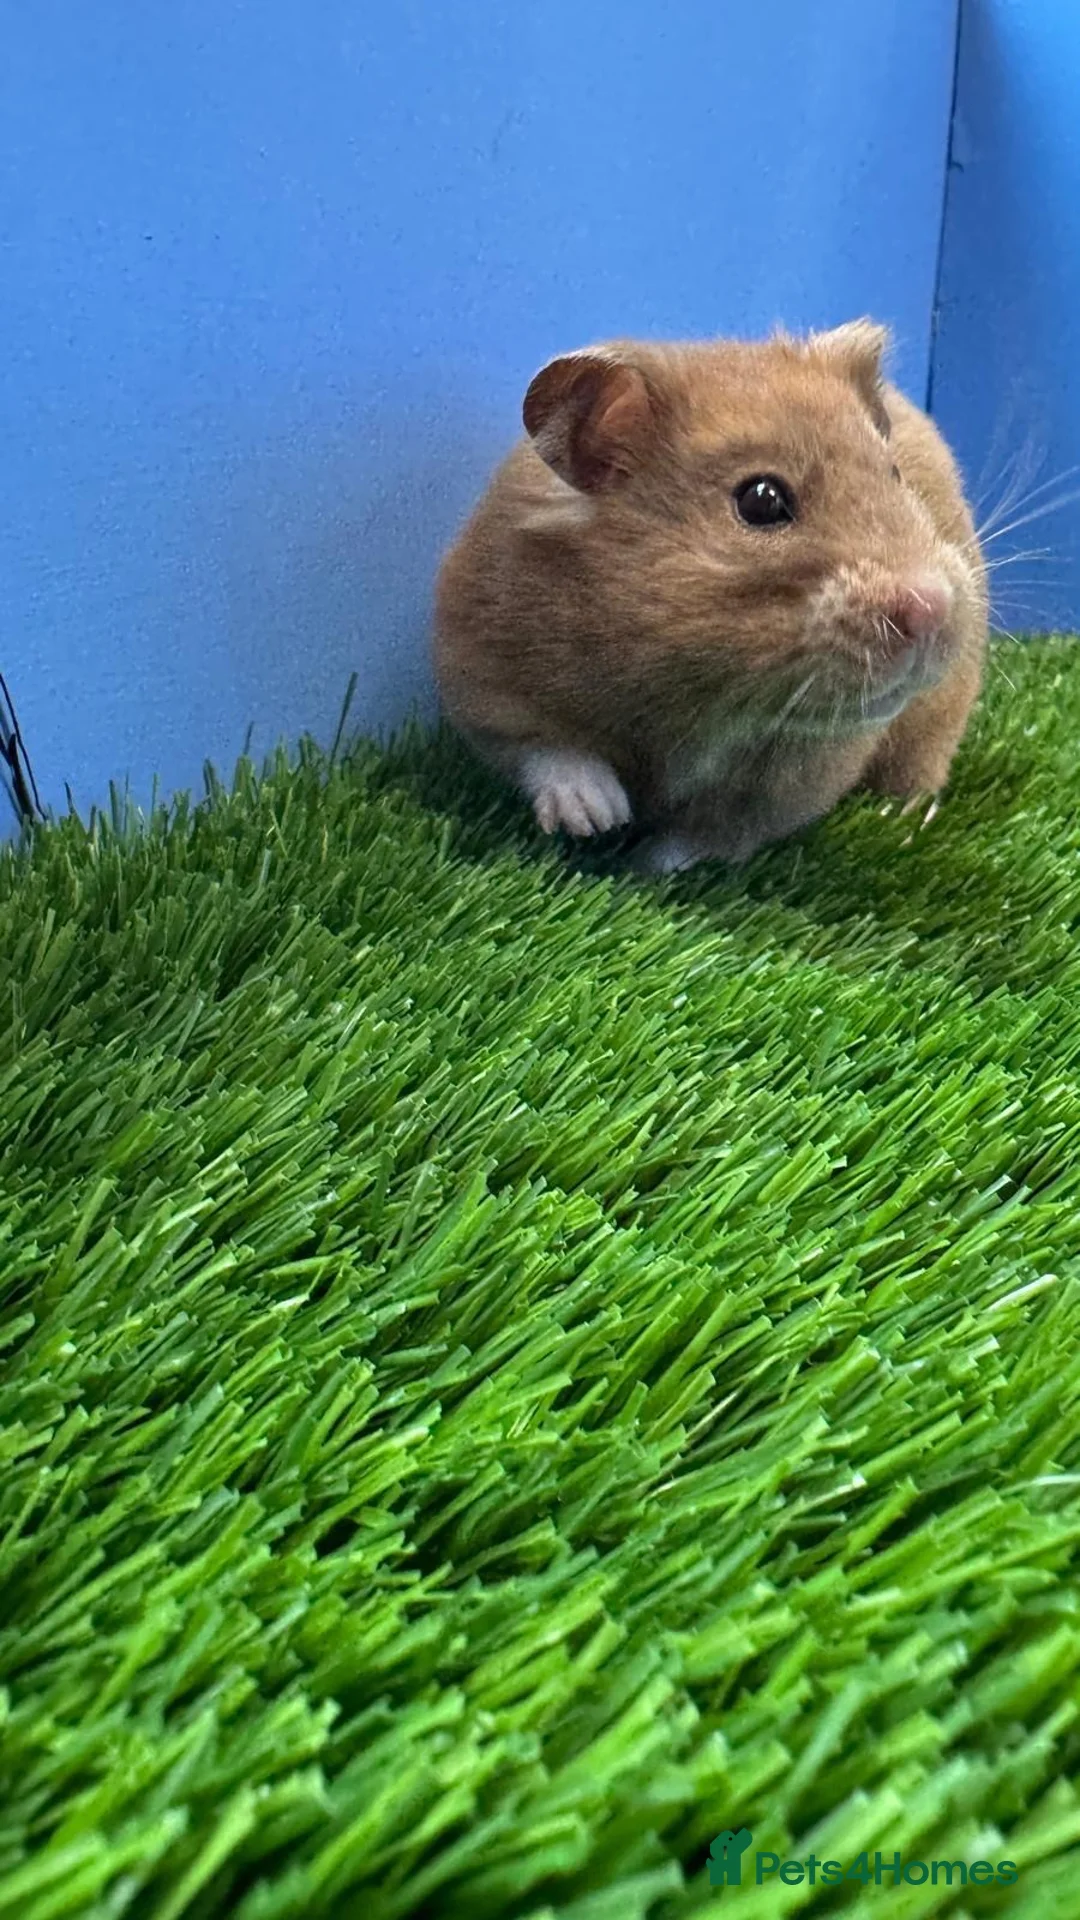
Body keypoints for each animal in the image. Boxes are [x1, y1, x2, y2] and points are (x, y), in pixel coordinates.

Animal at [433, 322, 988, 873]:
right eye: (761, 499)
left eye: (894, 475)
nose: (933, 608)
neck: (698, 696)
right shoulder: (483, 678)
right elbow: (548, 752)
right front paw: (597, 817)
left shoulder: (789, 786)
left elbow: (707, 836)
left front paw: (642, 870)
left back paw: (905, 822)